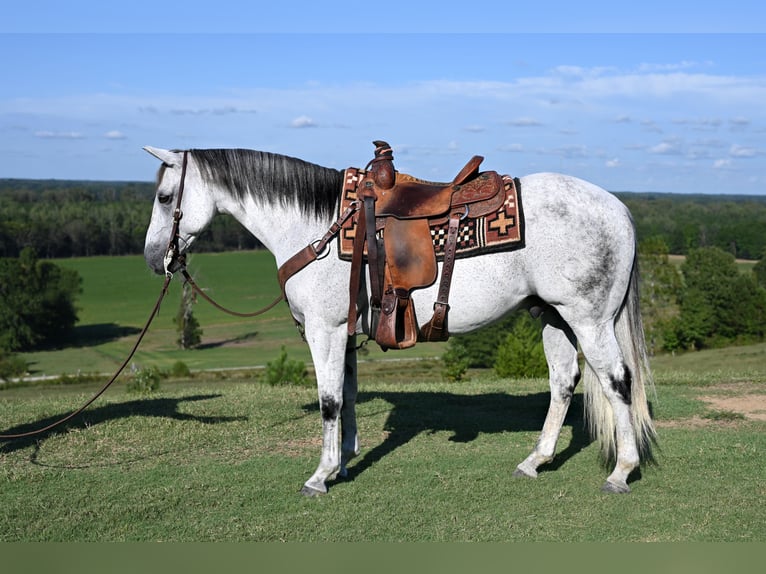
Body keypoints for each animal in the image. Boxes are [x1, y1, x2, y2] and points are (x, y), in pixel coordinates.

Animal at [146, 146, 660, 498]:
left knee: (617, 380)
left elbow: (329, 401)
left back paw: (621, 471)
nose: (155, 258)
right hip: (553, 316)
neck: (315, 227)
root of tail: (619, 208)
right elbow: (348, 395)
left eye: (165, 196)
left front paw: (320, 476)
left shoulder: (324, 330)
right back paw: (535, 460)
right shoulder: (344, 332)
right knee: (564, 381)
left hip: (590, 320)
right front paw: (344, 463)